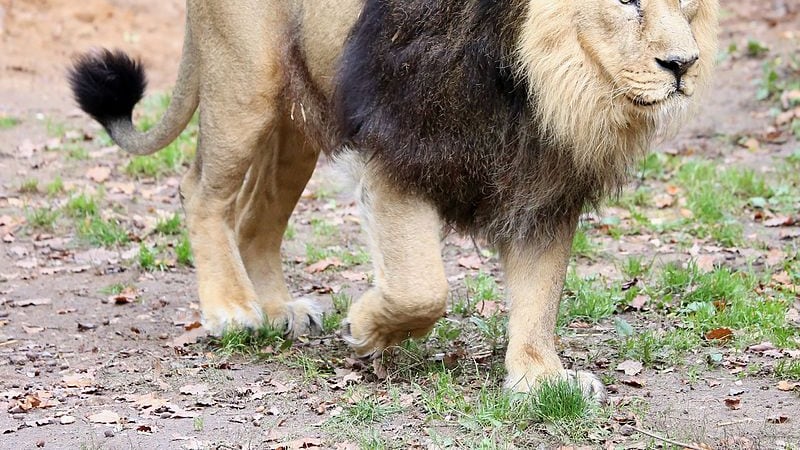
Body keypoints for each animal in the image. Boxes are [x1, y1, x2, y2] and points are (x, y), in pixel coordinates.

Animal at [69, 0, 719, 401]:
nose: (683, 65)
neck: (539, 80)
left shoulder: (543, 186)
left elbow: (539, 299)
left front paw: (540, 380)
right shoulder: (398, 158)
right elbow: (421, 289)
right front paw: (365, 329)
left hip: (299, 122)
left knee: (255, 216)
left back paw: (279, 310)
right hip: (245, 86)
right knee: (202, 191)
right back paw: (231, 309)